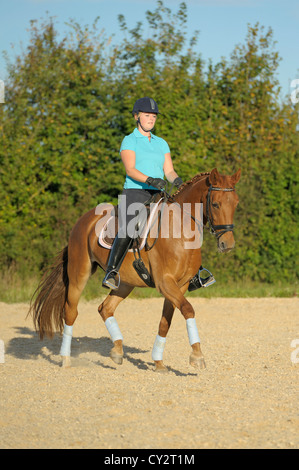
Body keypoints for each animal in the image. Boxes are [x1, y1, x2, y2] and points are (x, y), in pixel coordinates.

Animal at [28, 169, 241, 370]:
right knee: (70, 312)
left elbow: (165, 322)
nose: (227, 244)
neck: (180, 229)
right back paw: (65, 359)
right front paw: (197, 357)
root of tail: (83, 220)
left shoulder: (179, 286)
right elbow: (188, 310)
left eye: (236, 204)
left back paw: (117, 351)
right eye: (215, 204)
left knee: (105, 308)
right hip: (79, 273)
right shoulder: (165, 283)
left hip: (124, 283)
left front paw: (158, 363)